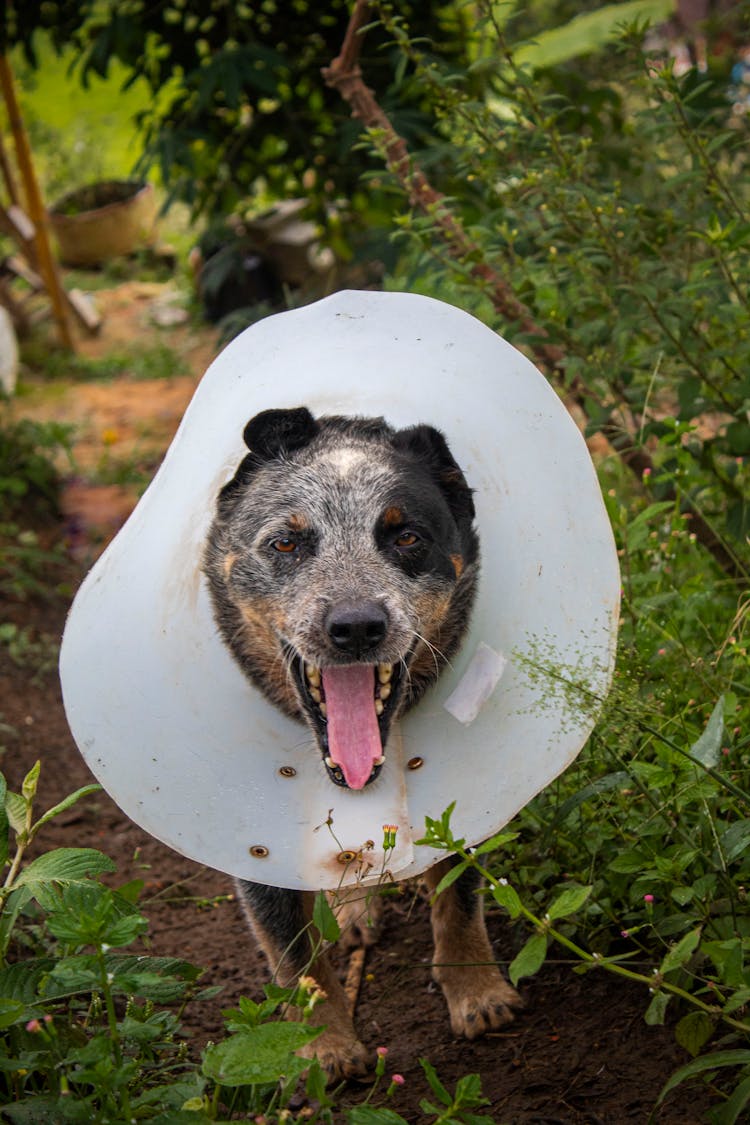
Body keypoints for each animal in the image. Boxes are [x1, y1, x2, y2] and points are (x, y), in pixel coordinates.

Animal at [202, 407, 526, 1080]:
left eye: (406, 537)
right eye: (286, 543)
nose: (354, 627)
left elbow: (458, 895)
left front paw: (477, 993)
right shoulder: (251, 846)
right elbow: (293, 955)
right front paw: (322, 1045)